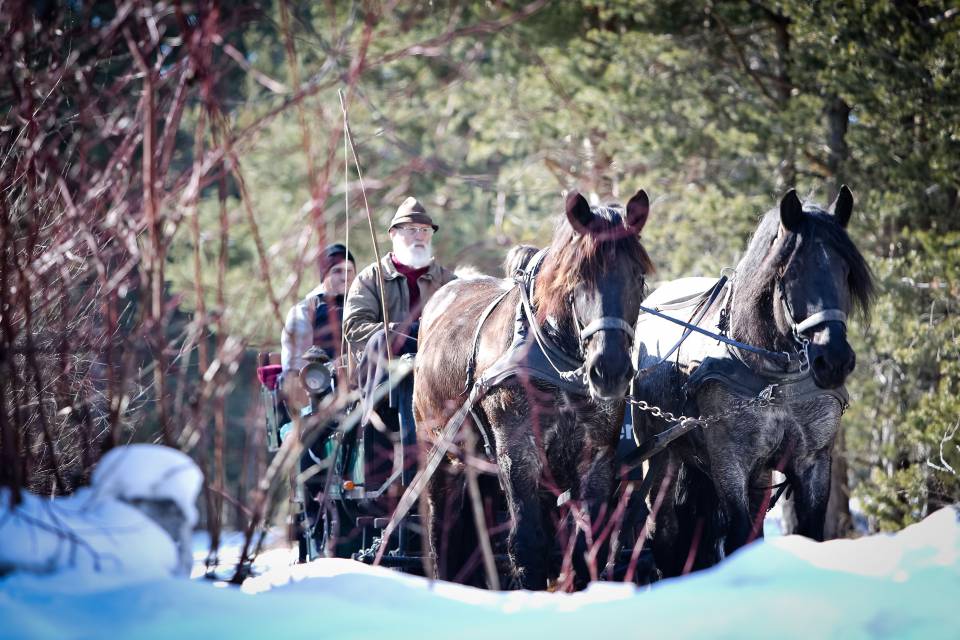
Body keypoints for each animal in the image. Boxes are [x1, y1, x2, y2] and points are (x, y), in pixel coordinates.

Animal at [412, 191, 652, 592]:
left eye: (638, 275)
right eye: (578, 276)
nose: (610, 370)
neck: (557, 360)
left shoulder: (597, 453)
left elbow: (587, 546)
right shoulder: (517, 450)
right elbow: (527, 544)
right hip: (439, 454)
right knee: (439, 533)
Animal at [632, 188, 872, 576]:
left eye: (846, 270)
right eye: (791, 270)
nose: (833, 359)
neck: (776, 381)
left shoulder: (813, 463)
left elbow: (809, 535)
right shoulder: (730, 464)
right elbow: (737, 539)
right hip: (664, 457)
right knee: (663, 532)